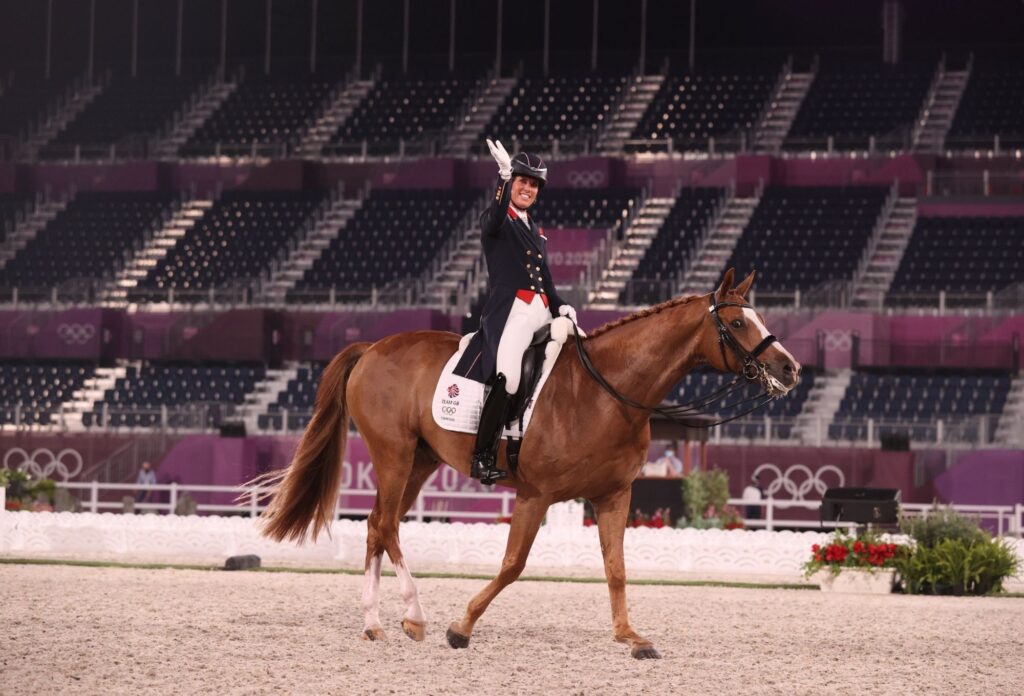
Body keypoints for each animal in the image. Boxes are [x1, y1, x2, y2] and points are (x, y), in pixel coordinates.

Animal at [256, 268, 798, 659]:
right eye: (737, 323)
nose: (789, 368)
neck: (607, 392)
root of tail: (372, 347)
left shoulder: (613, 495)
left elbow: (617, 568)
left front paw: (630, 637)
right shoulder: (536, 494)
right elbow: (513, 565)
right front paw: (461, 628)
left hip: (419, 461)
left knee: (375, 524)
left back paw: (373, 624)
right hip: (393, 453)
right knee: (387, 525)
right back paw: (415, 617)